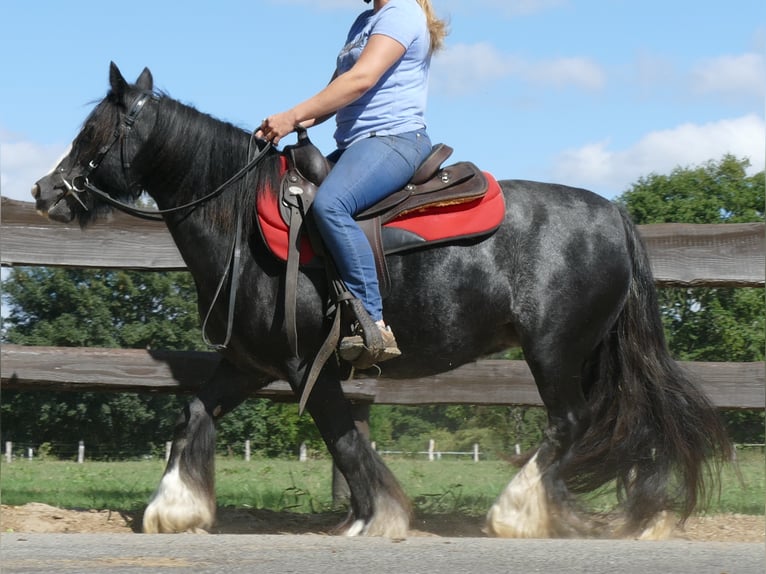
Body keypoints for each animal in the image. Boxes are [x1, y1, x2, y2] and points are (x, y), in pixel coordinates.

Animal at [31, 63, 732, 540]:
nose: (44, 191)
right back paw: (632, 513)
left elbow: (344, 440)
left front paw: (379, 518)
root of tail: (614, 214)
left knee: (572, 423)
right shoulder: (249, 364)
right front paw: (175, 507)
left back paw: (517, 511)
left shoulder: (304, 367)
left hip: (555, 351)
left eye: (93, 132)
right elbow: (194, 415)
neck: (241, 223)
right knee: (628, 421)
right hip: (589, 353)